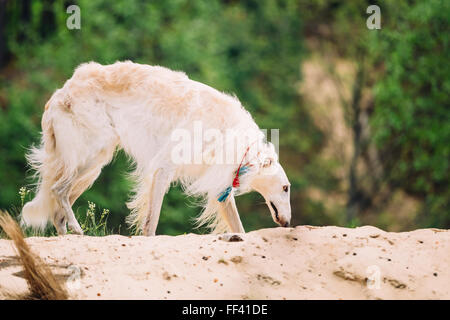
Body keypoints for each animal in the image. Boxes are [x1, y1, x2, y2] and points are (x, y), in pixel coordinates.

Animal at [21, 61, 292, 235]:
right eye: (286, 188)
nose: (288, 223)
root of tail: (59, 94)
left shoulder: (219, 184)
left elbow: (240, 229)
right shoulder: (164, 167)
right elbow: (151, 224)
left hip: (91, 168)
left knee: (58, 212)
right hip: (93, 154)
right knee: (57, 191)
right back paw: (78, 229)